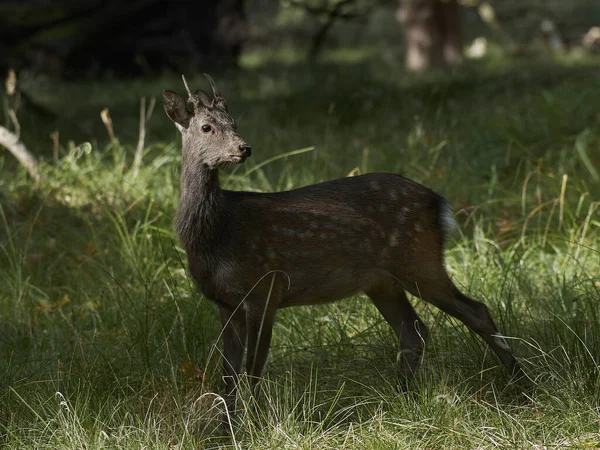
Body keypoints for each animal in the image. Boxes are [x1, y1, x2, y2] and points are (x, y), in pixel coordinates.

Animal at [162, 74, 524, 404]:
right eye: (206, 127)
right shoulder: (225, 301)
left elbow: (252, 369)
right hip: (382, 281)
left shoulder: (267, 287)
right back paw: (402, 397)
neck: (217, 233)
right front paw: (228, 426)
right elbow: (229, 376)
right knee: (414, 331)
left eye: (234, 122)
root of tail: (438, 203)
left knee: (477, 311)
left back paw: (523, 385)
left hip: (419, 259)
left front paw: (255, 421)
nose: (244, 148)